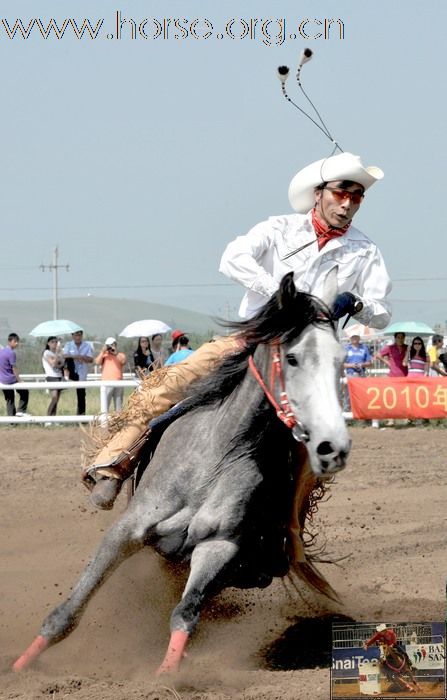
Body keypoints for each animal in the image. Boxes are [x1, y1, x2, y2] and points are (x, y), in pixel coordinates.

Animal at [14, 272, 352, 672]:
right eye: (292, 357)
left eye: (340, 360)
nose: (333, 445)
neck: (217, 454)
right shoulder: (127, 531)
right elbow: (69, 610)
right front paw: (20, 667)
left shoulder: (219, 546)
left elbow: (185, 613)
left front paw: (169, 673)